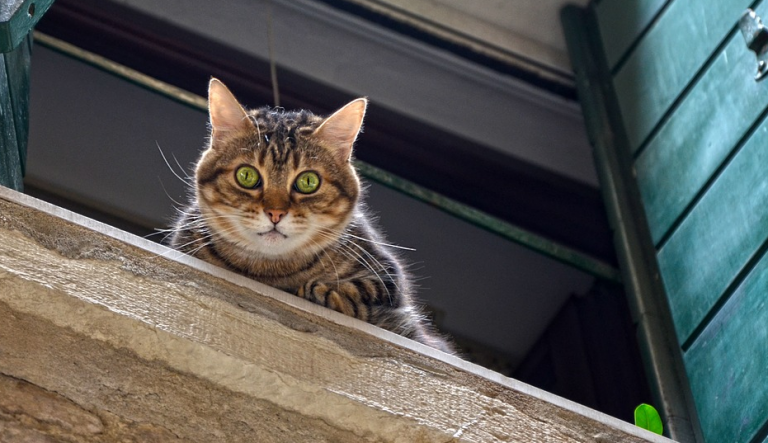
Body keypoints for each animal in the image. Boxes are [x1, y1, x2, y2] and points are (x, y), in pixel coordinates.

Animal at [168, 79, 452, 354]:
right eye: (246, 176)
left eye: (308, 181)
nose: (275, 212)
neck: (270, 274)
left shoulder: (387, 275)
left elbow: (362, 290)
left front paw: (324, 292)